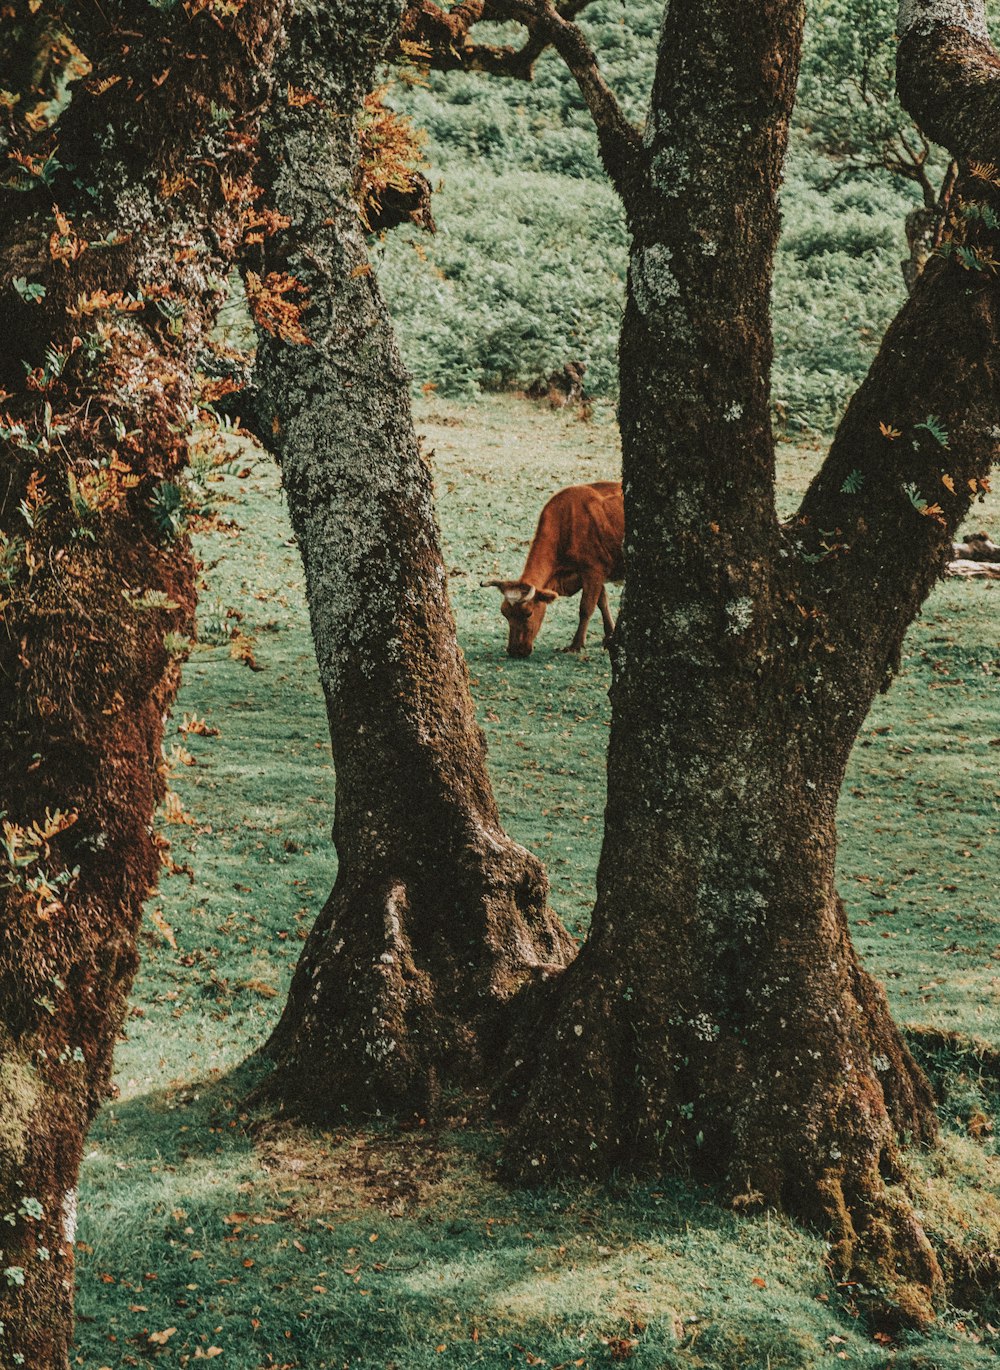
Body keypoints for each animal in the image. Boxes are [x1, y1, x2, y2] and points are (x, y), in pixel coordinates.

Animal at [479, 476, 619, 657]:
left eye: (528, 613)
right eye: (505, 613)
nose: (516, 651)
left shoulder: (593, 570)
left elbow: (586, 607)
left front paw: (576, 644)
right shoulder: (589, 574)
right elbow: (602, 602)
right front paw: (609, 635)